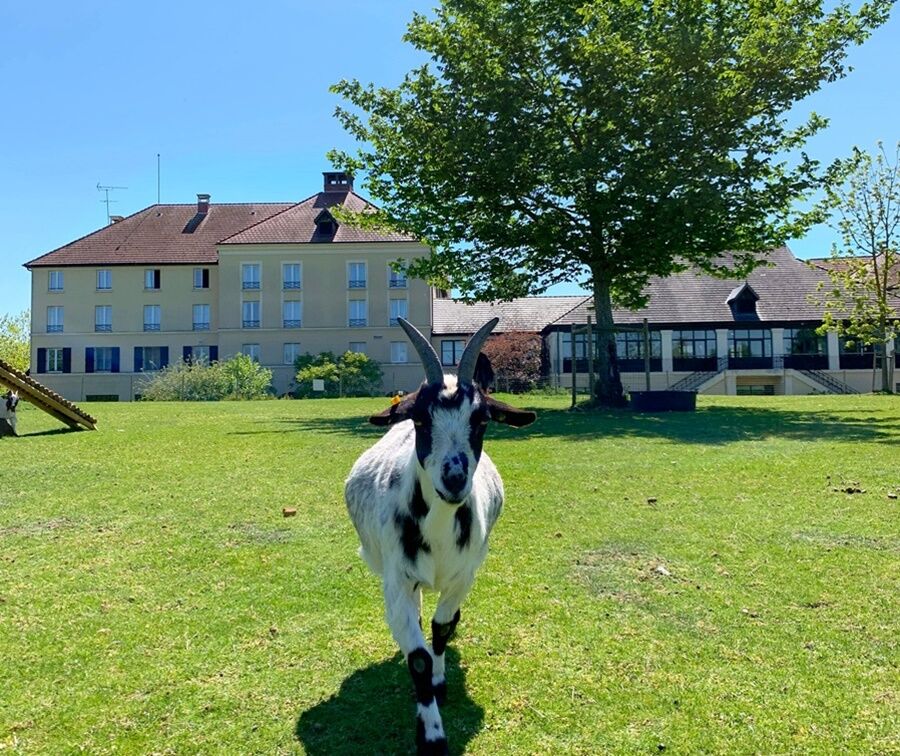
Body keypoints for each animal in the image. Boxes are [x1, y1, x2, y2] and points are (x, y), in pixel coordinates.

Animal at [344, 316, 536, 752]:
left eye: (481, 421)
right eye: (420, 420)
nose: (454, 478)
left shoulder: (464, 576)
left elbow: (443, 627)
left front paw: (439, 681)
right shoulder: (397, 579)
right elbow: (416, 654)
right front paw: (431, 734)